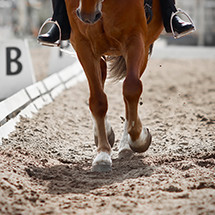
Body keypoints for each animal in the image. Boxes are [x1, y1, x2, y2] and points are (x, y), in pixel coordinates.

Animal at [64, 0, 162, 171]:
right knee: (102, 78)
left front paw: (139, 139)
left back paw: (126, 145)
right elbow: (98, 100)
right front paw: (102, 155)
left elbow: (131, 88)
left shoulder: (135, 39)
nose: (87, 16)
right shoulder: (83, 45)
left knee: (128, 93)